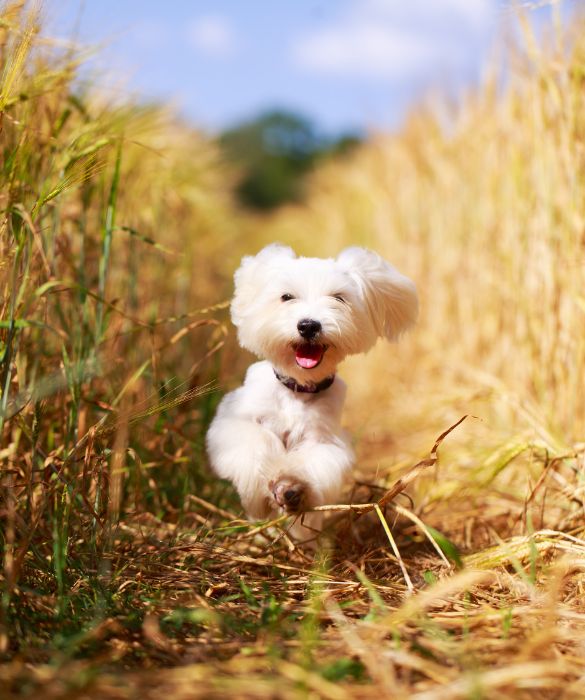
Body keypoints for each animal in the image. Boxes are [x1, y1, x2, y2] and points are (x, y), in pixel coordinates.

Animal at [205, 246, 416, 540]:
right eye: (286, 297)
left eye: (339, 298)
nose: (308, 325)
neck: (298, 388)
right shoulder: (236, 420)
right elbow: (257, 443)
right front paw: (259, 497)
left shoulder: (323, 439)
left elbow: (312, 462)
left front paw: (291, 487)